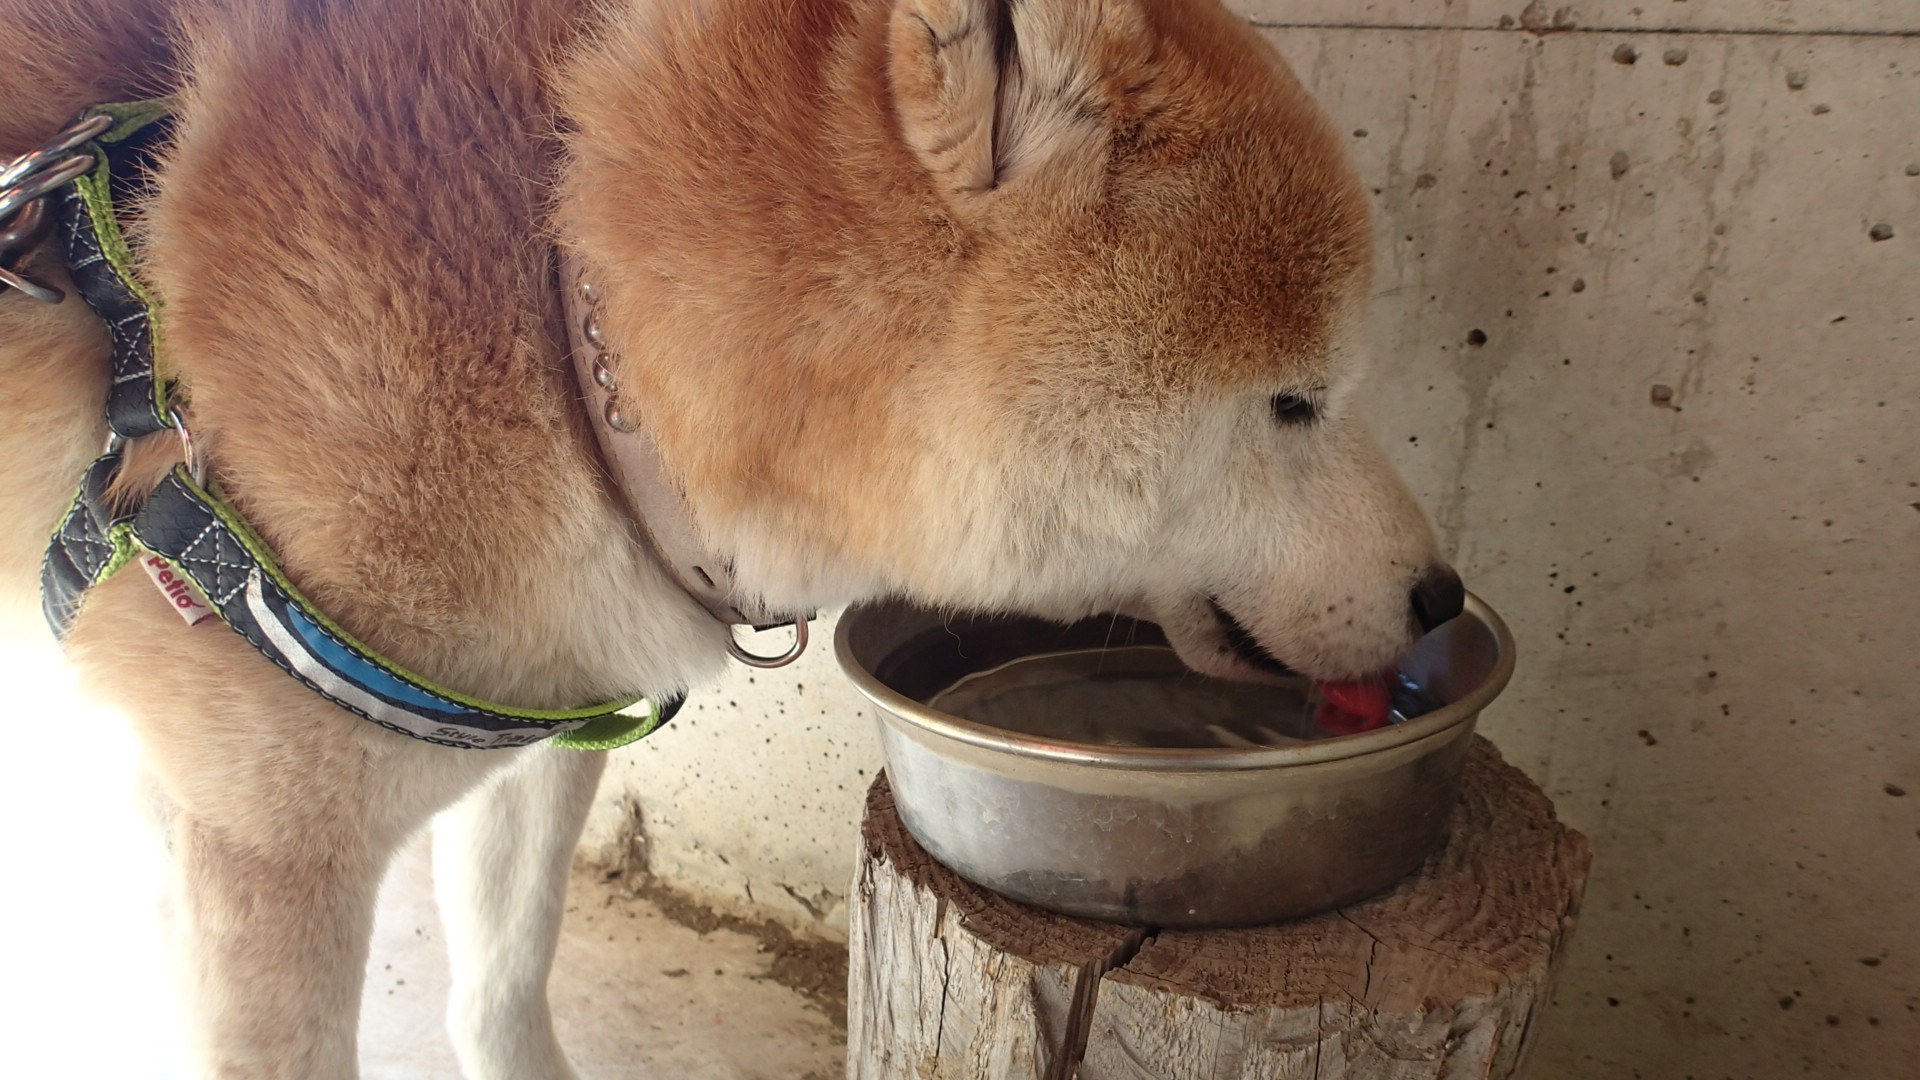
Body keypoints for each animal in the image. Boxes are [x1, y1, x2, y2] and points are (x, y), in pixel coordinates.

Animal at [0, 0, 1459, 1076]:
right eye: (1297, 401)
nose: (1443, 596)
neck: (570, 319)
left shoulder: (537, 744)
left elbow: (500, 997)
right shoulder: (259, 854)